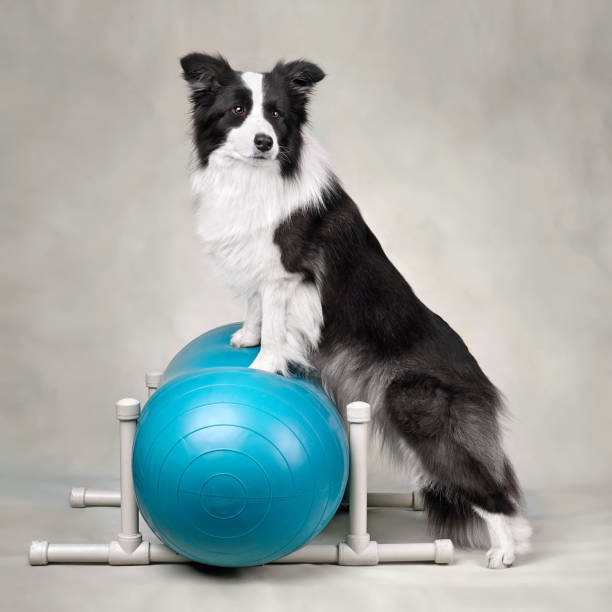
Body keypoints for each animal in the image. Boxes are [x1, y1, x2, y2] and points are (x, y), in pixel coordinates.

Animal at [180, 52, 532, 568]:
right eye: (238, 110)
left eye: (277, 114)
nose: (265, 142)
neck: (258, 176)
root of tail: (479, 380)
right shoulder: (260, 263)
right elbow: (255, 303)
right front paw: (246, 337)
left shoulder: (288, 274)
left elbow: (277, 321)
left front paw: (264, 366)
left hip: (420, 413)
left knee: (491, 489)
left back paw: (505, 551)